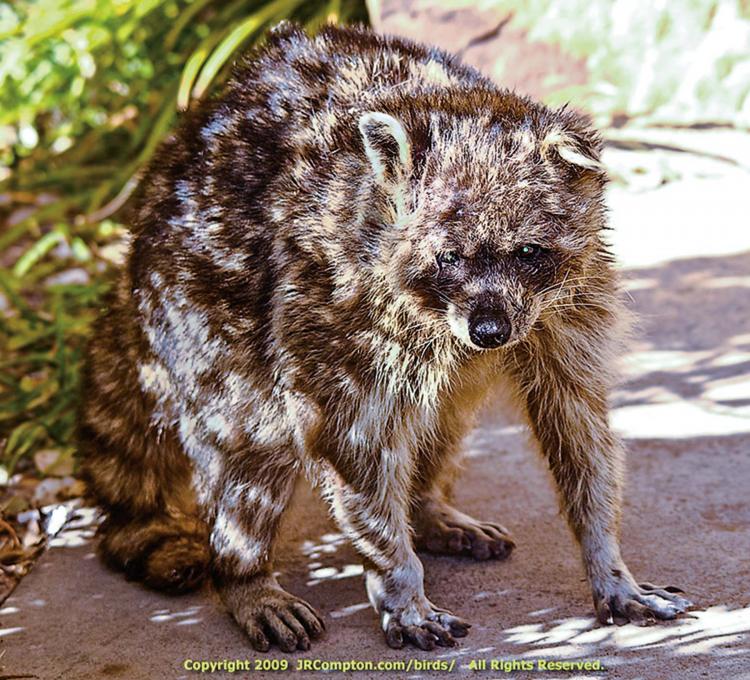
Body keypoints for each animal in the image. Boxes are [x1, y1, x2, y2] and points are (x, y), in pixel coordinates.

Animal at [78, 22, 692, 652]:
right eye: (449, 257)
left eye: (528, 252)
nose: (489, 332)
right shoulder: (333, 302)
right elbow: (351, 443)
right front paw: (396, 576)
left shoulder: (569, 305)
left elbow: (578, 424)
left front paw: (606, 556)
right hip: (203, 309)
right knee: (254, 445)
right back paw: (244, 573)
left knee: (444, 416)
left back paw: (425, 506)